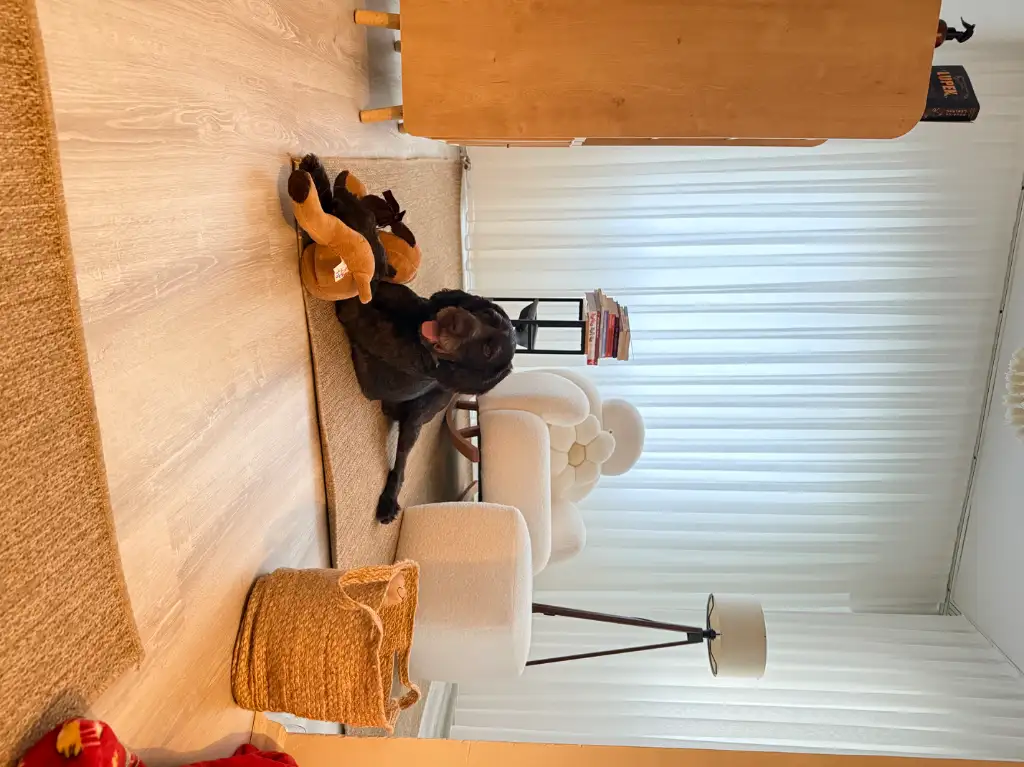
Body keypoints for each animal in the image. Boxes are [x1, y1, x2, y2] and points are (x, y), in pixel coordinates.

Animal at [336, 281, 516, 523]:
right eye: (487, 314)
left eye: (488, 351)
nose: (457, 323)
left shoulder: (363, 324)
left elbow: (356, 303)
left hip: (416, 419)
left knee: (401, 463)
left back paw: (388, 502)